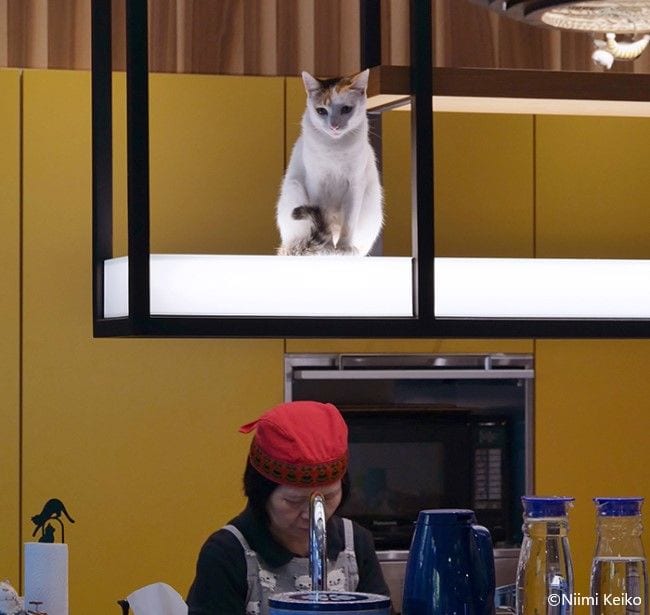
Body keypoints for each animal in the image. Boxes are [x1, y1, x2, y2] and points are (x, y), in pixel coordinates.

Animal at [276, 69, 383, 256]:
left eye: (346, 109)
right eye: (321, 111)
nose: (334, 126)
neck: (335, 147)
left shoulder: (355, 185)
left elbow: (349, 222)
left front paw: (344, 247)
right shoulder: (316, 182)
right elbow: (322, 216)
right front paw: (325, 246)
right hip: (294, 189)